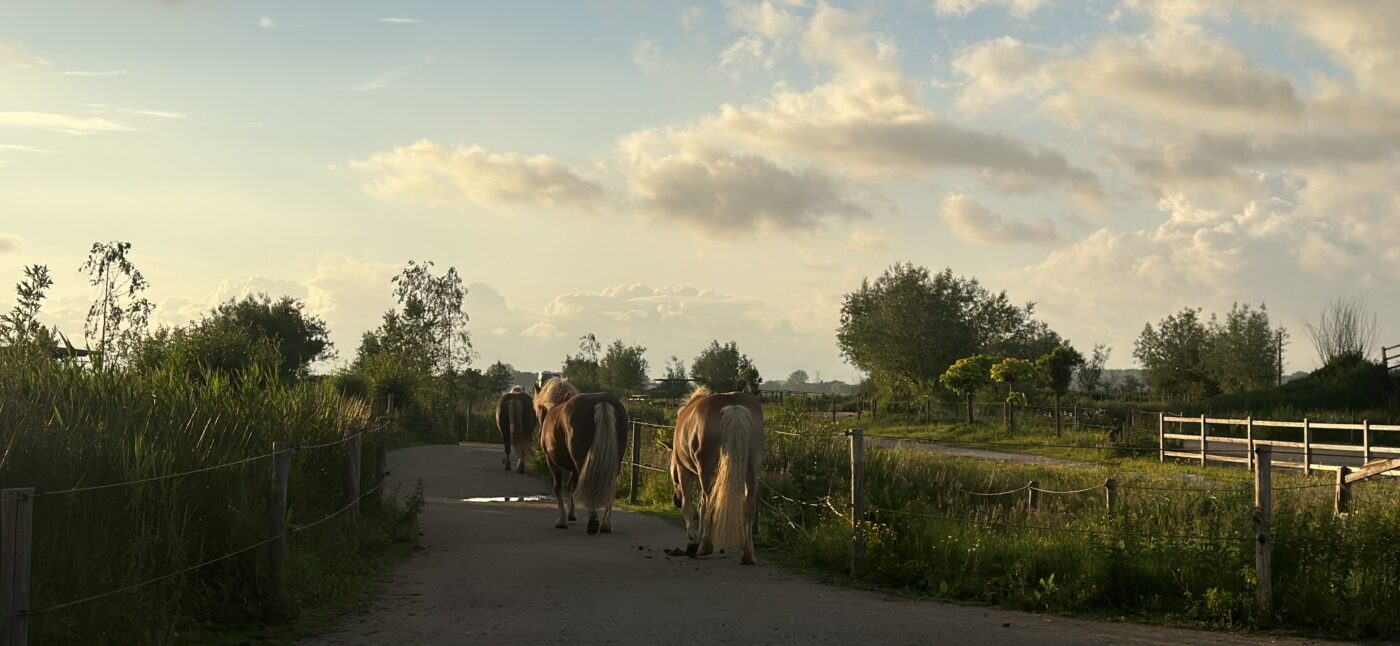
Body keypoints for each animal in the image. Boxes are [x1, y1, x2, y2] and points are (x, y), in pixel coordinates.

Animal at [532, 375, 627, 532]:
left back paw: (593, 522)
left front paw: (562, 520)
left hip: (581, 460)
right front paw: (571, 514)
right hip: (616, 460)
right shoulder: (573, 468)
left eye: (537, 410)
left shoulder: (552, 461)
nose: (539, 433)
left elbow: (558, 487)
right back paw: (606, 524)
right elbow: (572, 486)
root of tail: (602, 402)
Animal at [669, 383, 767, 560]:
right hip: (750, 470)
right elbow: (700, 506)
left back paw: (704, 546)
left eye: (673, 476)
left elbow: (690, 505)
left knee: (710, 502)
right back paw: (747, 553)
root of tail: (733, 407)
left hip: (707, 471)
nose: (676, 500)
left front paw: (693, 539)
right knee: (748, 504)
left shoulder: (683, 470)